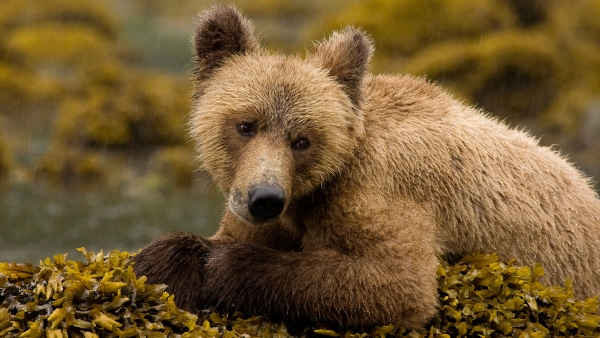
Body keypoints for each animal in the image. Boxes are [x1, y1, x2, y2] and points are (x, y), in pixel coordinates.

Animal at [134, 4, 600, 330]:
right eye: (245, 125)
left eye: (302, 140)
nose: (264, 198)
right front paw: (167, 259)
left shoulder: (382, 187)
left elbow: (396, 282)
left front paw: (222, 265)